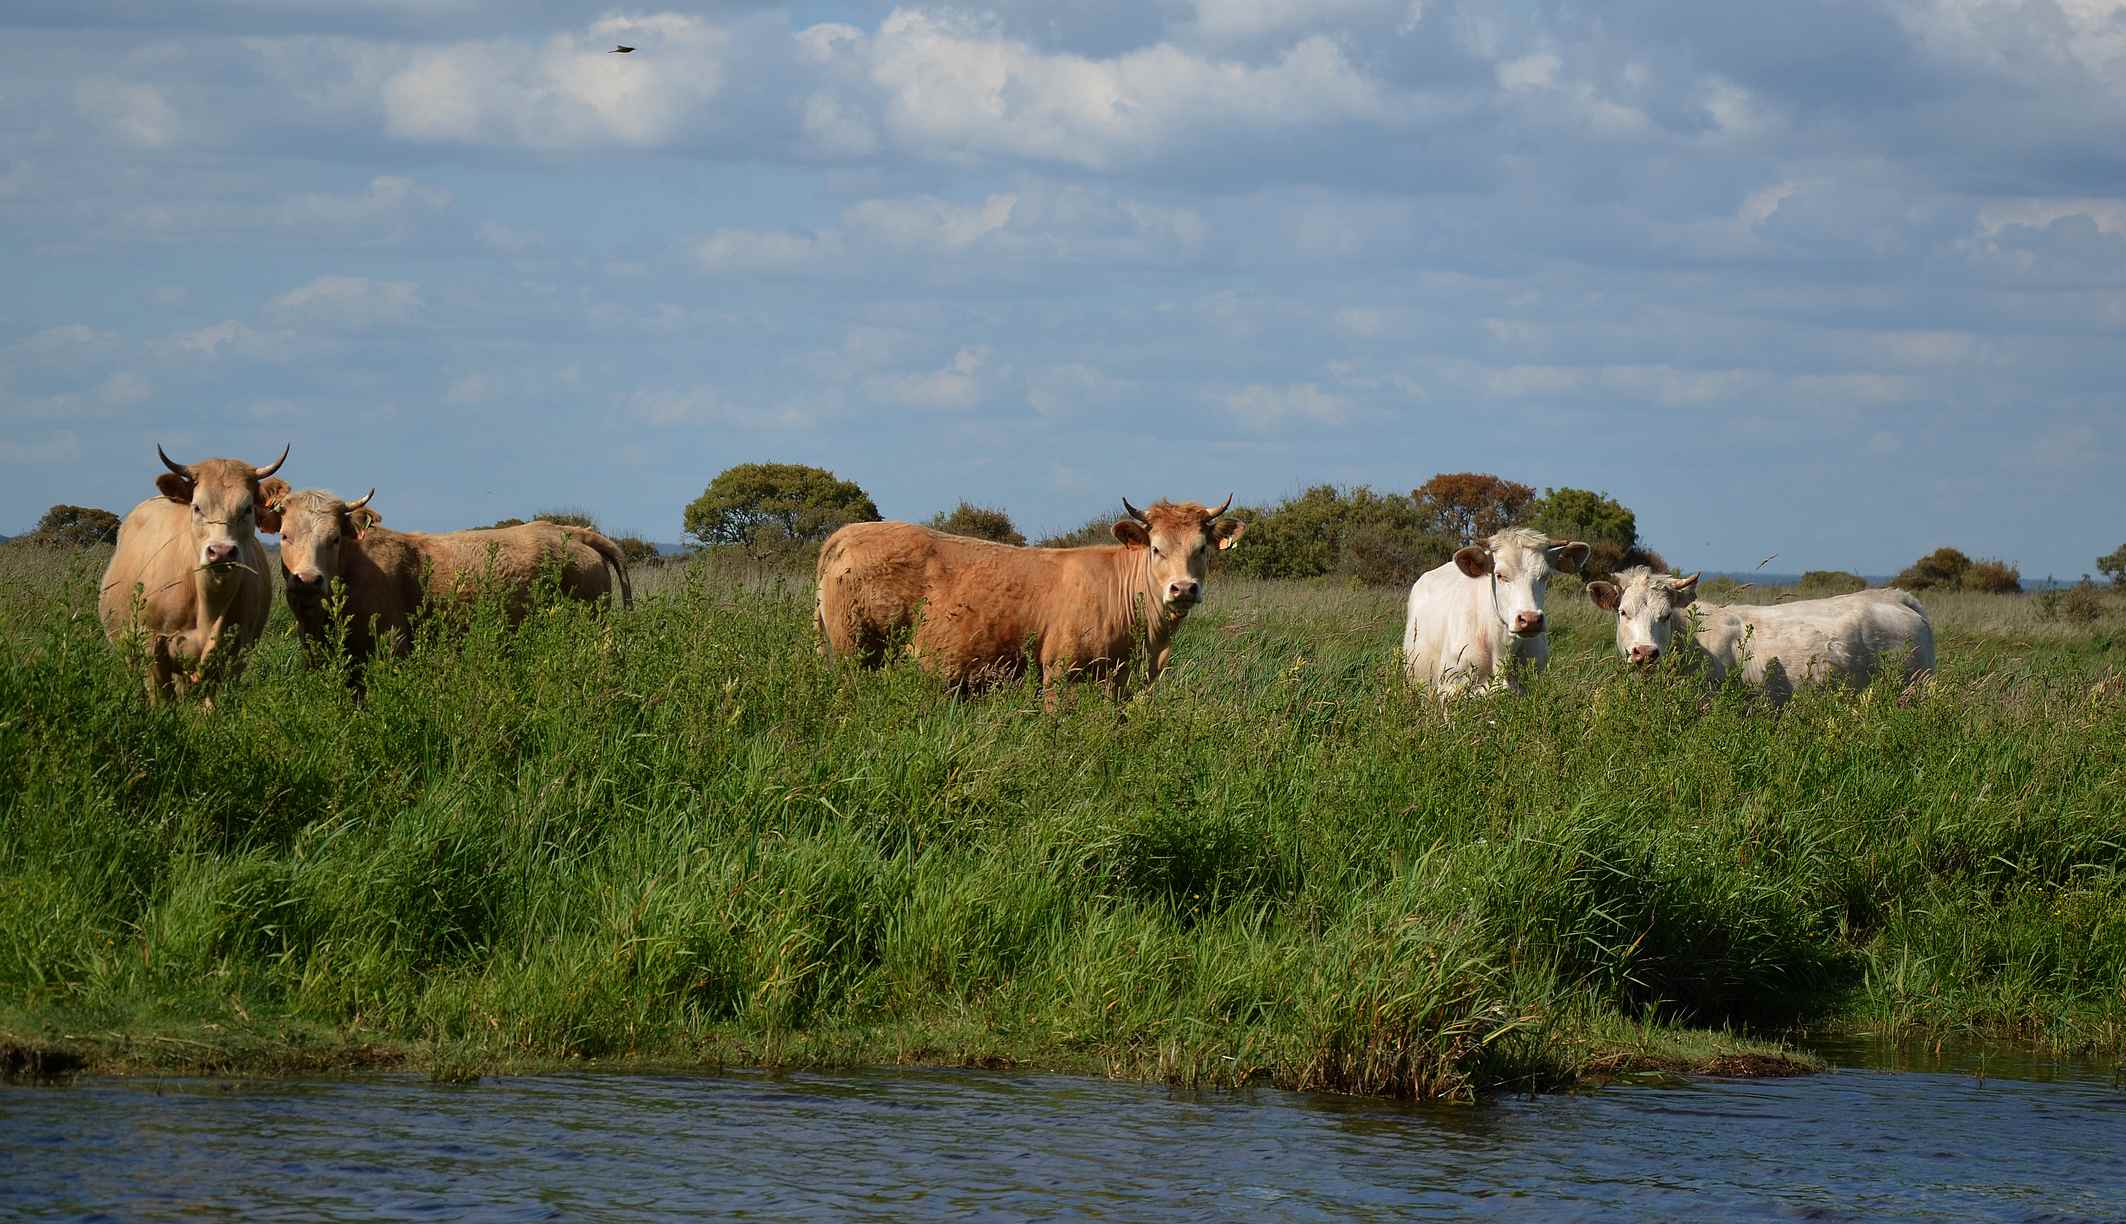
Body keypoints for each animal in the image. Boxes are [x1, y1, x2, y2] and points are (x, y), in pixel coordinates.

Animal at [98, 444, 290, 703]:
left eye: (247, 508)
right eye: (197, 507)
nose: (221, 552)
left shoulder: (237, 651)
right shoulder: (152, 643)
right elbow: (160, 699)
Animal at [271, 488, 633, 669]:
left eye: (334, 538)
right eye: (285, 536)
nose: (307, 579)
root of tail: (567, 530)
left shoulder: (392, 644)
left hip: (591, 621)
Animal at [815, 496, 1246, 706]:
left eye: (1202, 549)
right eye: (1156, 549)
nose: (1183, 588)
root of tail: (848, 533)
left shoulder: (1120, 680)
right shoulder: (1059, 671)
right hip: (855, 650)